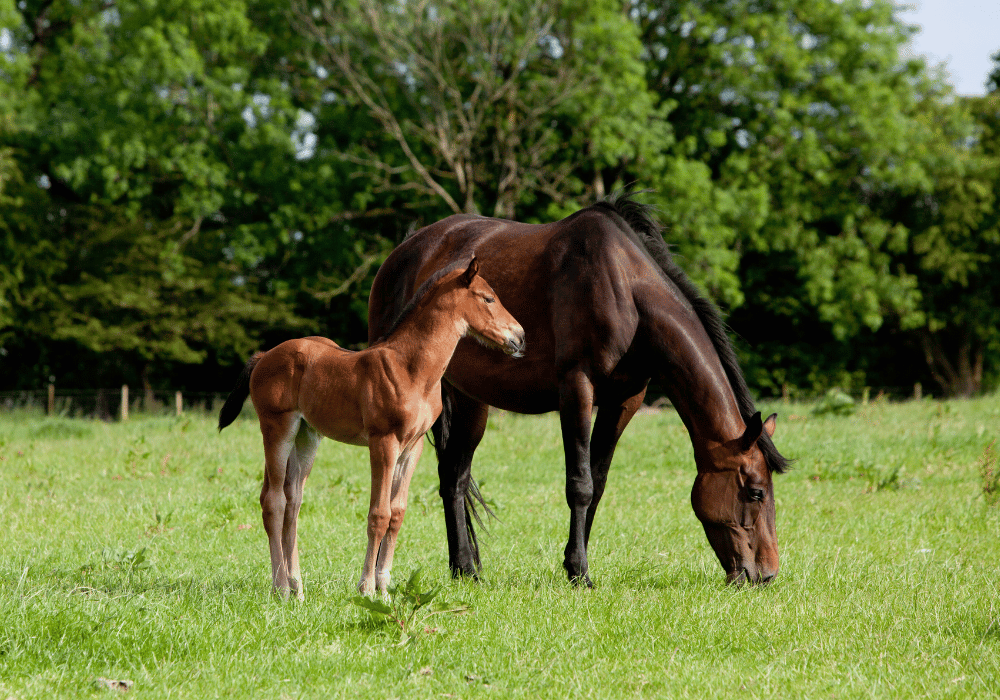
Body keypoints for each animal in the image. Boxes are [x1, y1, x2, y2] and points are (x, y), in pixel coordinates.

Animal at [218, 260, 524, 600]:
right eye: (488, 298)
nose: (519, 337)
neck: (412, 369)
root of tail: (263, 357)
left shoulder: (413, 446)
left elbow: (397, 513)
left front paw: (384, 587)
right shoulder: (384, 442)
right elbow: (379, 514)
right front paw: (366, 587)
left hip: (307, 435)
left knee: (293, 501)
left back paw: (297, 587)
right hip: (277, 427)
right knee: (273, 500)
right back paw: (281, 587)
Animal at [368, 190, 788, 584]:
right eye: (755, 492)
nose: (766, 574)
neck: (625, 289)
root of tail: (404, 250)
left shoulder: (625, 399)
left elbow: (597, 483)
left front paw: (576, 564)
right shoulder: (577, 387)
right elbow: (580, 484)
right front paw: (580, 572)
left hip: (472, 401)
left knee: (454, 477)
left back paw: (465, 569)